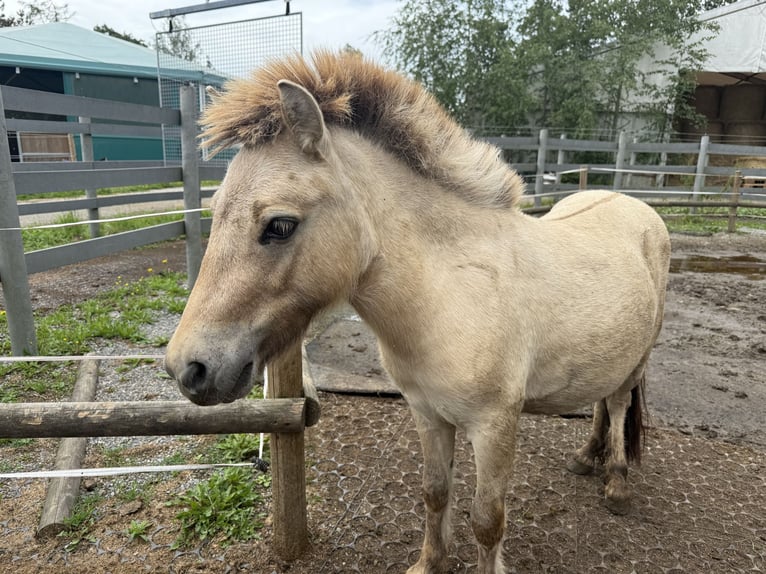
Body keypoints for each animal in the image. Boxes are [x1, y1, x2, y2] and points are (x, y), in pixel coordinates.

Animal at [164, 51, 670, 573]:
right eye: (215, 212)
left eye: (279, 225)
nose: (188, 368)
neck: (447, 295)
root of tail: (635, 207)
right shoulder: (427, 415)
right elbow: (434, 493)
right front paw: (429, 563)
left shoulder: (495, 427)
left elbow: (487, 522)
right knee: (601, 401)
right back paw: (586, 458)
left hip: (638, 359)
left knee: (617, 404)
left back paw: (616, 482)